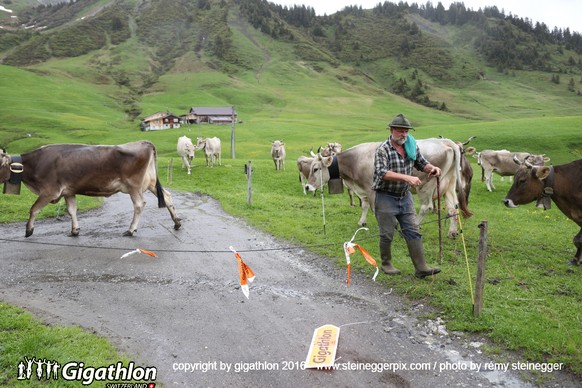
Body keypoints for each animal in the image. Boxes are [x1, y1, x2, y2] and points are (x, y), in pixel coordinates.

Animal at [0, 140, 182, 236]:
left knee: (139, 204)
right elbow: (72, 210)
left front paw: (28, 230)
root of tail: (144, 142)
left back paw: (131, 230)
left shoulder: (49, 191)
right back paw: (176, 222)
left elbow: (33, 209)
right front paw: (75, 230)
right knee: (167, 196)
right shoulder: (69, 191)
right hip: (150, 183)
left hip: (134, 186)